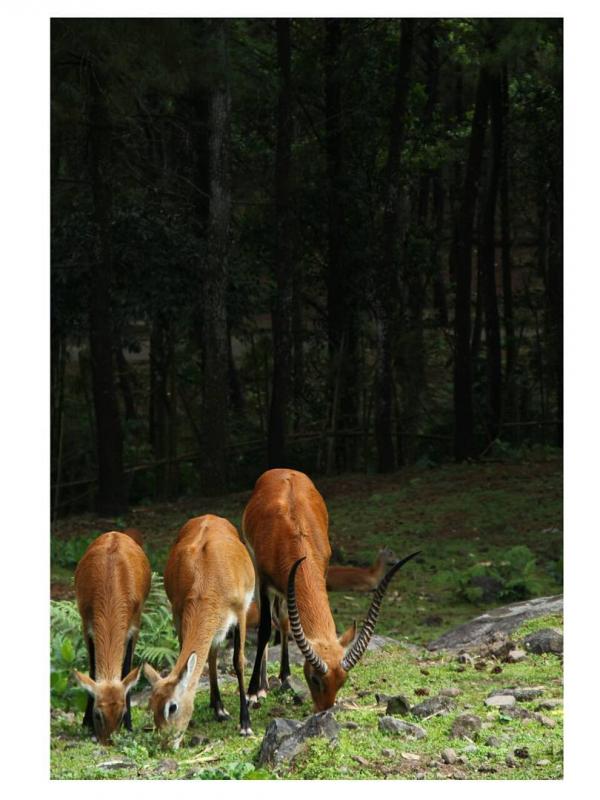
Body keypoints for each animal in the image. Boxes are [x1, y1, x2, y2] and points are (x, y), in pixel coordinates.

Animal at [73, 532, 151, 744]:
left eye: (122, 713)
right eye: (97, 714)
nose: (107, 742)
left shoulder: (134, 626)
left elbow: (127, 670)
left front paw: (130, 726)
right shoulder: (86, 625)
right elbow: (92, 671)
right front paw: (86, 723)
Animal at [144, 516, 254, 748]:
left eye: (172, 707)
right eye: (151, 704)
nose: (166, 743)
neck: (208, 576)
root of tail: (210, 516)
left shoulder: (241, 613)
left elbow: (238, 662)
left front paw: (245, 724)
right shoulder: (178, 613)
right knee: (211, 654)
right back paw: (218, 707)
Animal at [241, 468, 420, 712]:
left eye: (343, 681)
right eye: (314, 678)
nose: (324, 712)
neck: (293, 532)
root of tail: (283, 470)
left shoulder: (317, 574)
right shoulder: (265, 582)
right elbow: (264, 630)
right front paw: (253, 692)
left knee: (284, 620)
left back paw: (285, 675)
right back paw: (263, 684)